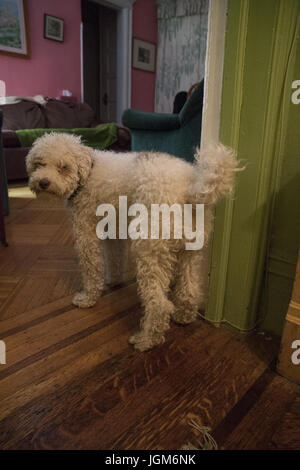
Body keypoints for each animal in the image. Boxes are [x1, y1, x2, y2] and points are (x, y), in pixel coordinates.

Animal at [27, 134, 240, 350]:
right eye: (39, 164)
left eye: (63, 167)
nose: (43, 182)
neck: (86, 174)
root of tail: (190, 190)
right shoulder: (113, 231)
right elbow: (114, 259)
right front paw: (113, 280)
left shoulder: (86, 235)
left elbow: (92, 270)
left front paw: (88, 298)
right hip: (190, 253)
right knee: (190, 291)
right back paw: (184, 317)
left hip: (149, 253)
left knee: (159, 305)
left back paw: (146, 340)